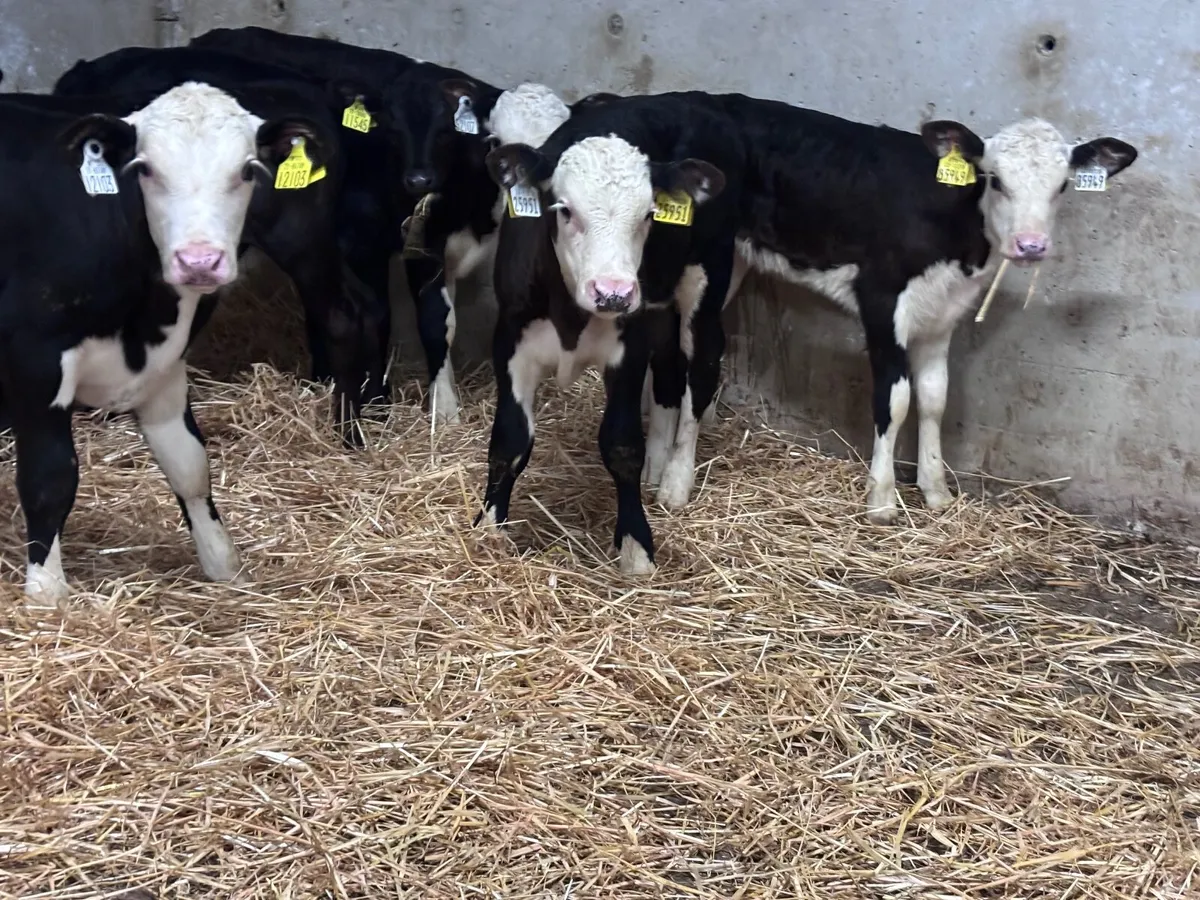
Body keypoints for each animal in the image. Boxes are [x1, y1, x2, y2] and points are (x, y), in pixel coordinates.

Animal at [0, 81, 336, 602]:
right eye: (145, 169)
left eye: (246, 170)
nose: (199, 260)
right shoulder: (35, 360)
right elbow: (49, 476)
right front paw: (46, 592)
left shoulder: (164, 367)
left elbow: (190, 466)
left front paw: (224, 566)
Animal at [475, 94, 744, 576]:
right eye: (563, 209)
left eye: (649, 215)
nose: (613, 292)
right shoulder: (510, 338)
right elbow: (509, 439)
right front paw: (488, 528)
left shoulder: (628, 346)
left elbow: (621, 445)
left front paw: (636, 548)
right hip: (657, 305)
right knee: (669, 372)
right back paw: (659, 462)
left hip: (704, 285)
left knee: (701, 370)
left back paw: (675, 478)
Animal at [698, 95, 1139, 523]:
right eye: (995, 180)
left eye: (1062, 185)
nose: (1031, 245)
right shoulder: (880, 301)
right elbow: (895, 400)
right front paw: (881, 499)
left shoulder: (943, 310)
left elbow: (934, 397)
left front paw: (936, 490)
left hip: (732, 262)